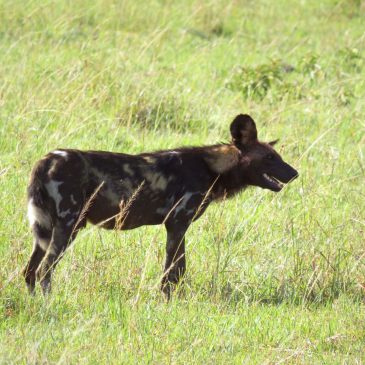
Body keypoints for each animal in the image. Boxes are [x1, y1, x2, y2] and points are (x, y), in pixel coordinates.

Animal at [22, 114, 298, 296]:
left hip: (47, 231)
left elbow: (178, 269)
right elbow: (174, 271)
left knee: (30, 272)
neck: (211, 168)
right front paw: (167, 300)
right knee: (44, 271)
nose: (295, 173)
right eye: (269, 158)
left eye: (277, 156)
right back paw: (50, 302)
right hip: (69, 227)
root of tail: (47, 159)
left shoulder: (176, 227)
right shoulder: (177, 225)